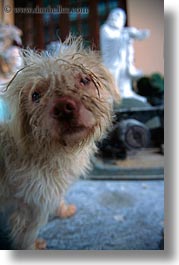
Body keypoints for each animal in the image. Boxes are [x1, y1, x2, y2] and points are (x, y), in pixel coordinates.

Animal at [0, 36, 120, 248]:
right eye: (35, 95)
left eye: (85, 80)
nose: (64, 108)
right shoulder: (30, 207)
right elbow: (26, 235)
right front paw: (32, 246)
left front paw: (62, 209)